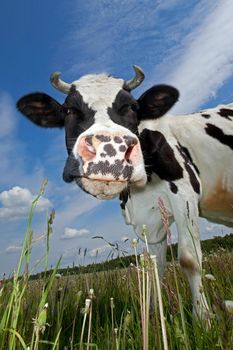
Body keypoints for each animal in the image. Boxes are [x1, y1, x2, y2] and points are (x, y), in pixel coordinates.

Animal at [16, 65, 233, 322]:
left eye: (131, 107)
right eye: (69, 110)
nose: (108, 151)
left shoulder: (185, 193)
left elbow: (190, 259)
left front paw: (203, 319)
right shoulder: (148, 217)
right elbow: (152, 268)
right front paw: (153, 319)